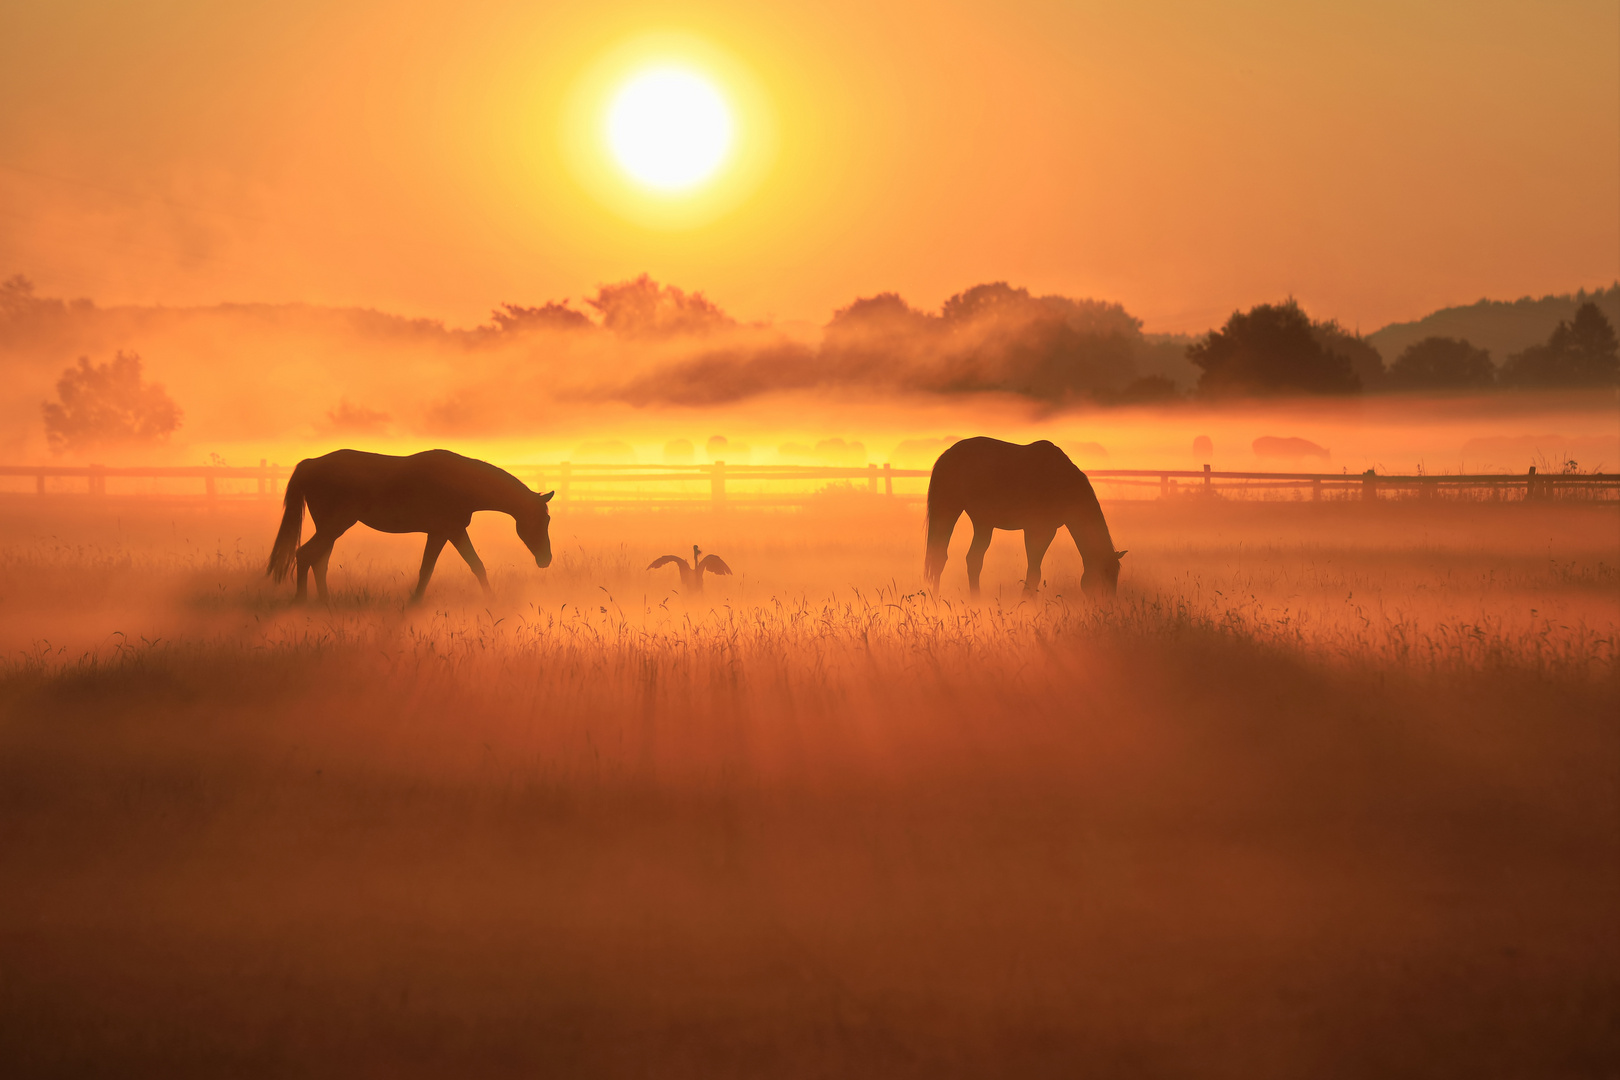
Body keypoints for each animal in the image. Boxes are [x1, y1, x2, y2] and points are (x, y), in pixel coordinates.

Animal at [267, 446, 557, 605]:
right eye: (542, 520)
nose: (546, 559)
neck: (461, 483)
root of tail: (310, 464)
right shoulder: (444, 532)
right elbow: (432, 569)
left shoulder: (449, 532)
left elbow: (472, 566)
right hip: (333, 526)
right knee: (305, 555)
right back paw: (301, 601)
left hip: (330, 528)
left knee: (318, 560)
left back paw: (324, 601)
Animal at [926, 433, 1127, 595]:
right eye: (1104, 576)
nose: (1107, 604)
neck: (1062, 481)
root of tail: (948, 454)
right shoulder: (1038, 530)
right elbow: (1034, 571)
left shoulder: (1046, 530)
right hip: (949, 511)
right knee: (941, 556)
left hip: (982, 523)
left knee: (967, 558)